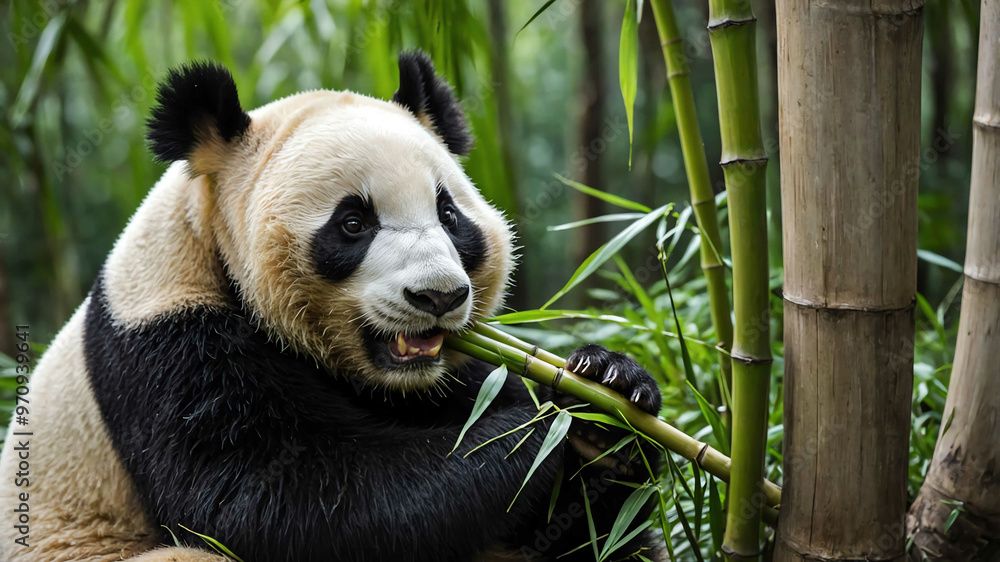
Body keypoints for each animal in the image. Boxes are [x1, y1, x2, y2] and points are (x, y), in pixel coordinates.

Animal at [0, 51, 664, 562]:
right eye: (352, 223)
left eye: (450, 215)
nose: (438, 296)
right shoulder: (165, 342)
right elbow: (280, 500)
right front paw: (545, 422)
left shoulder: (456, 376)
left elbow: (576, 533)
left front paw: (608, 395)